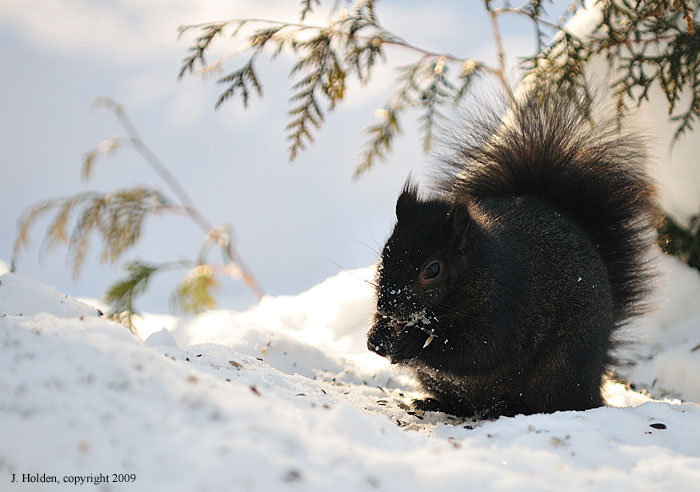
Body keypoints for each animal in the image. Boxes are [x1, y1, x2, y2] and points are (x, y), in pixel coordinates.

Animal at [366, 89, 658, 419]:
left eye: (433, 269)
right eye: (385, 252)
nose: (387, 306)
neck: (477, 272)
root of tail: (593, 385)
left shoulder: (503, 307)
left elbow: (474, 351)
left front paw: (411, 343)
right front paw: (377, 336)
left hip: (559, 373)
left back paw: (509, 408)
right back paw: (435, 403)